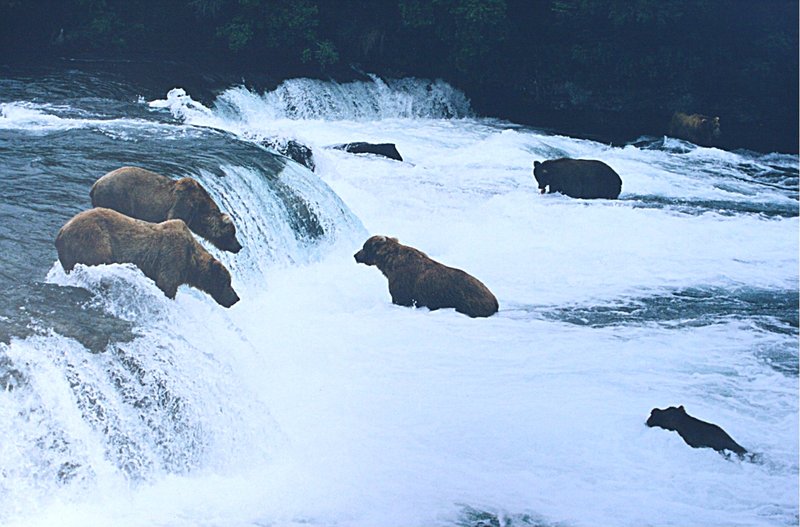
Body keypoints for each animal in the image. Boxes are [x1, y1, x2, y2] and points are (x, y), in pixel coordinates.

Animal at [55, 208, 240, 307]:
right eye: (227, 282)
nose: (236, 298)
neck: (190, 263)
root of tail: (62, 231)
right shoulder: (171, 259)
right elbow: (167, 285)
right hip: (94, 240)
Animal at [90, 166, 242, 253]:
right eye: (232, 232)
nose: (239, 246)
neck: (198, 212)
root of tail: (95, 184)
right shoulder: (182, 204)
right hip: (117, 197)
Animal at [354, 235, 498, 318]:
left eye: (365, 247)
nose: (356, 255)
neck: (388, 265)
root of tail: (495, 301)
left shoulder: (402, 288)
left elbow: (400, 299)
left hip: (468, 302)